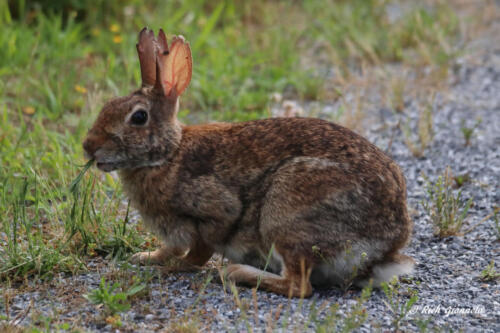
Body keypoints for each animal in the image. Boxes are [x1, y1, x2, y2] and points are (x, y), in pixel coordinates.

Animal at [84, 28, 414, 296]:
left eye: (138, 117)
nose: (88, 147)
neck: (169, 154)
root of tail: (387, 245)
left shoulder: (214, 211)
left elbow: (200, 249)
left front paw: (173, 268)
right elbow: (171, 247)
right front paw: (147, 258)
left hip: (285, 213)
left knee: (298, 286)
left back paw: (236, 272)